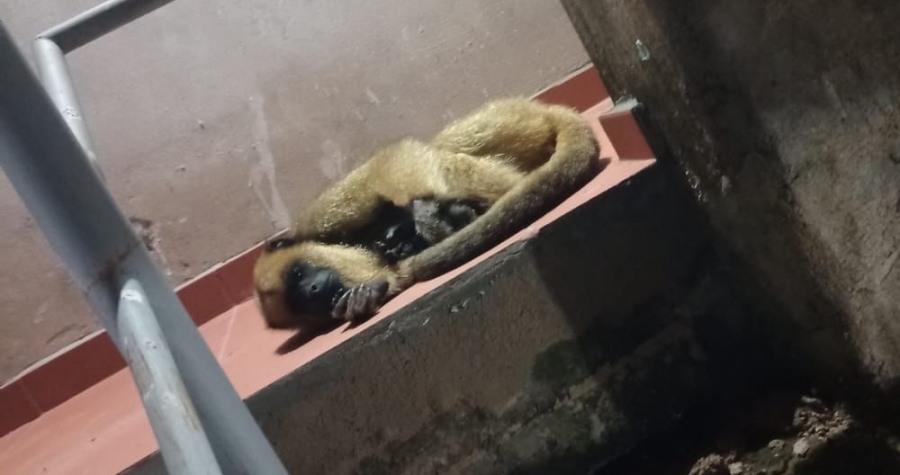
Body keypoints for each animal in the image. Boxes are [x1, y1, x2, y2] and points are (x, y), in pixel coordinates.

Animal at [253, 97, 603, 331]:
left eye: (298, 276)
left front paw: (421, 216)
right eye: (302, 304)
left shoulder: (321, 216)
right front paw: (361, 297)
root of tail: (545, 110)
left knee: (438, 152)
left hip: (512, 122)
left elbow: (393, 161)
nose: (313, 290)